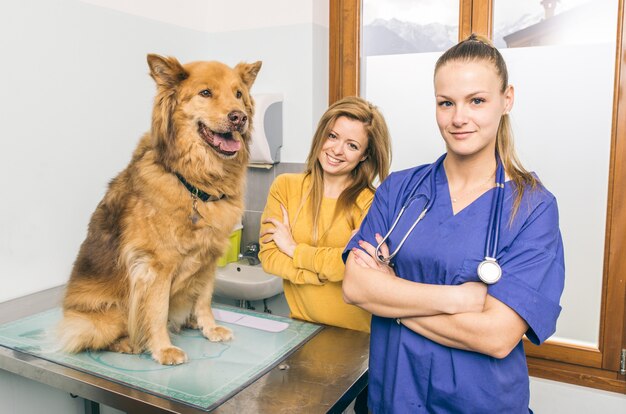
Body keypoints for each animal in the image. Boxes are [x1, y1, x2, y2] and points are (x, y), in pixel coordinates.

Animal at [58, 54, 260, 366]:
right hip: (104, 316)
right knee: (94, 338)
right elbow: (156, 309)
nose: (239, 117)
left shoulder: (209, 258)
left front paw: (209, 327)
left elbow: (204, 299)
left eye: (238, 94)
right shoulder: (156, 265)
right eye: (205, 93)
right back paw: (131, 343)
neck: (196, 183)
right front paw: (163, 348)